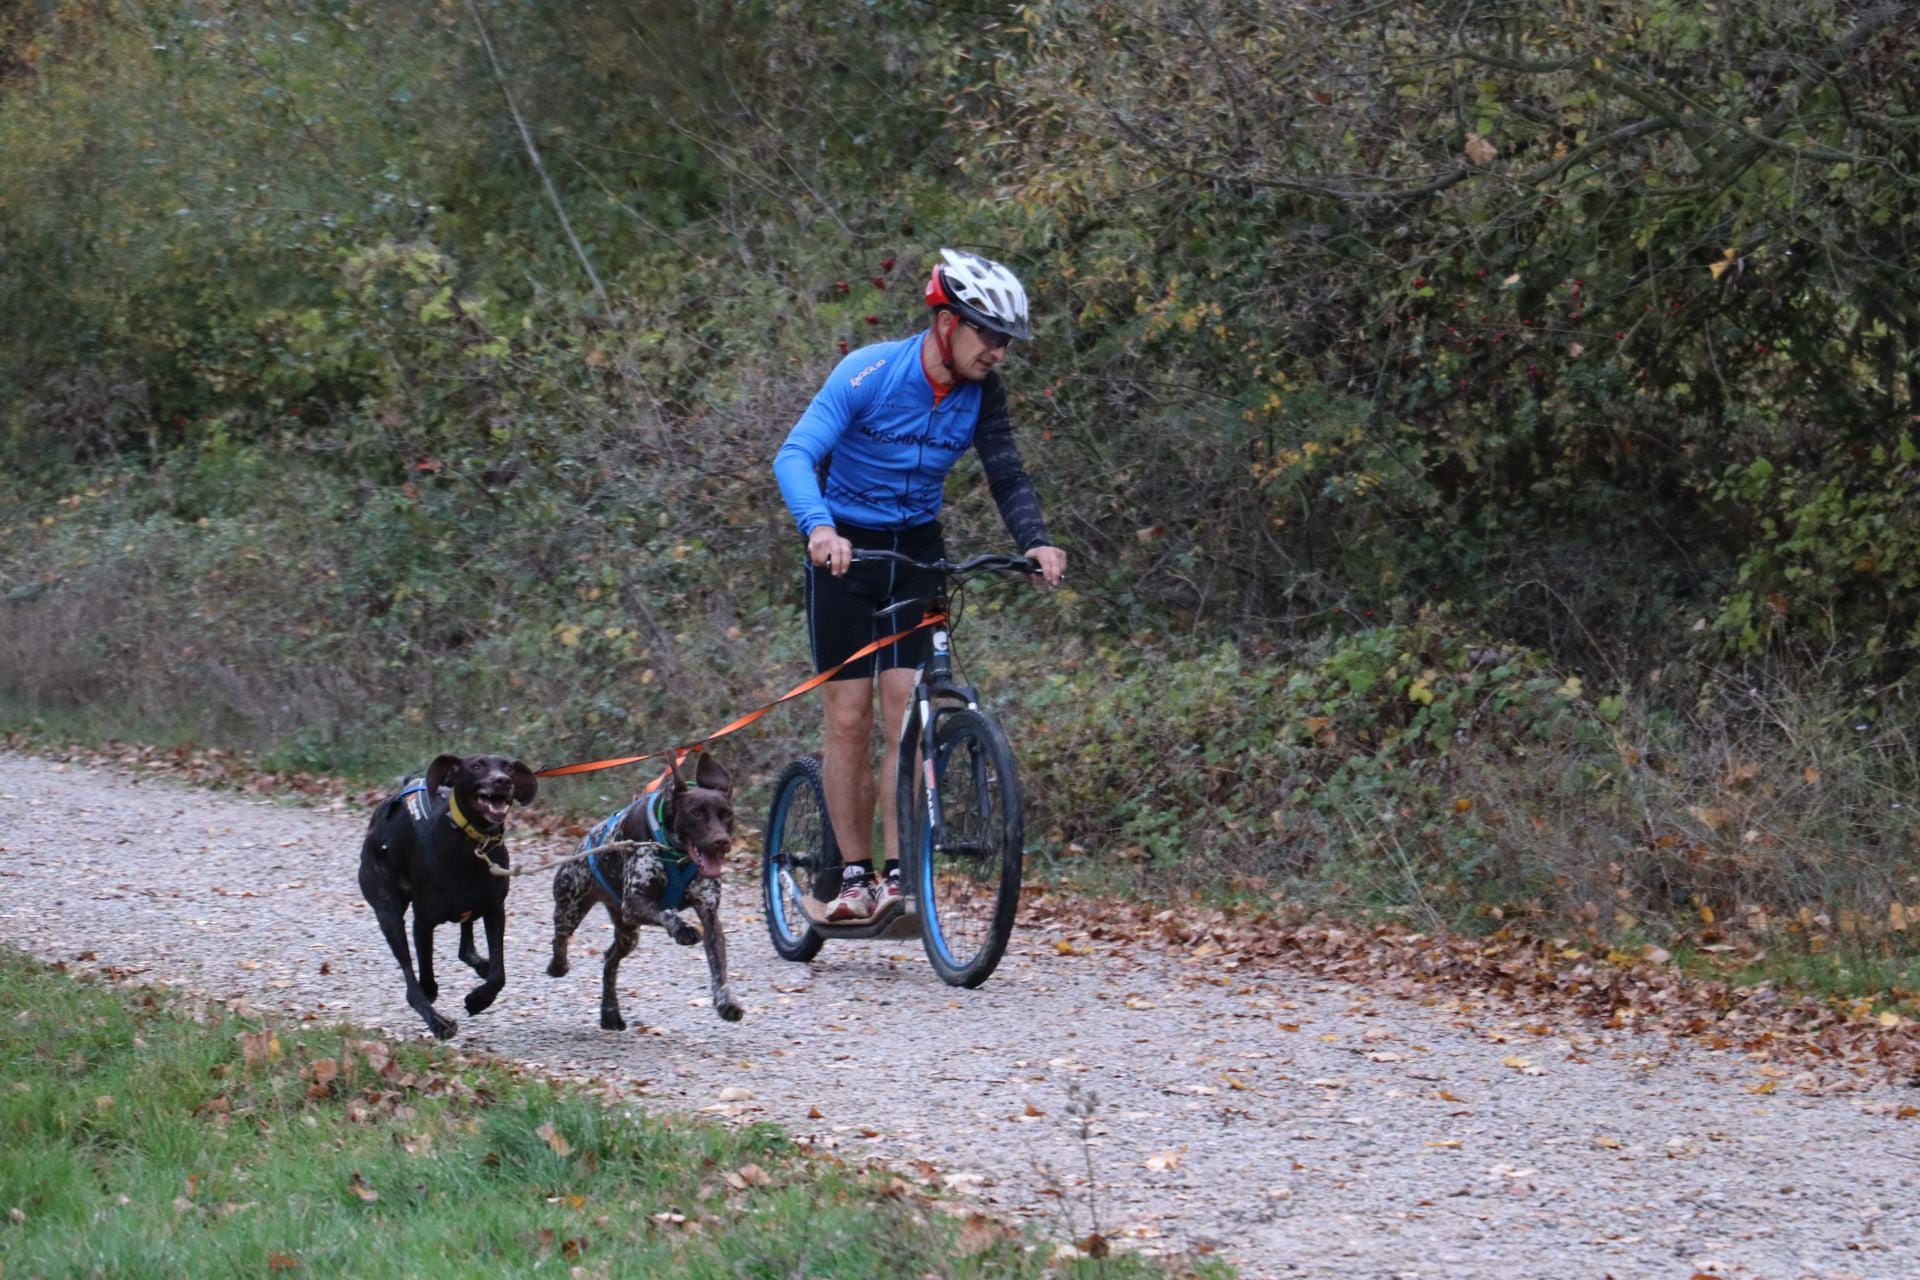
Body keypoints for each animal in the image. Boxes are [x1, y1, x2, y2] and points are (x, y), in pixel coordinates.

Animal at [552, 752, 744, 1028]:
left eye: (726, 814)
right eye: (696, 813)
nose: (722, 842)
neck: (677, 853)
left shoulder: (709, 917)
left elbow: (719, 968)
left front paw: (726, 1003)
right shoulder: (634, 903)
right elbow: (667, 913)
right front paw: (683, 929)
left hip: (628, 933)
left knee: (610, 960)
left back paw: (610, 1011)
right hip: (572, 907)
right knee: (560, 936)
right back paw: (558, 965)